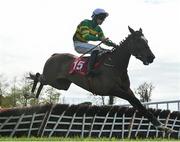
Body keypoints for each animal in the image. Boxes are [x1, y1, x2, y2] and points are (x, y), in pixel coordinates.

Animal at [26, 26, 172, 132]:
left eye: (146, 40)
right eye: (138, 41)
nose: (151, 57)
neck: (114, 64)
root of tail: (53, 55)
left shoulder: (126, 89)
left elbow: (139, 104)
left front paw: (161, 126)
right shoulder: (111, 89)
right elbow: (135, 100)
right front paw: (160, 125)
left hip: (61, 84)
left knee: (42, 79)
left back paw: (34, 93)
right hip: (52, 79)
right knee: (39, 76)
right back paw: (31, 91)